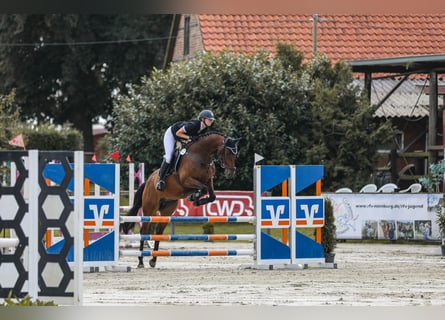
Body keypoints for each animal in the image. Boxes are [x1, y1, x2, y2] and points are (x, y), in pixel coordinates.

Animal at [119, 131, 241, 268]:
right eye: (227, 152)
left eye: (236, 153)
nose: (231, 173)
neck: (201, 156)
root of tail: (148, 181)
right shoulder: (186, 180)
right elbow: (203, 189)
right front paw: (194, 197)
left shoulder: (209, 180)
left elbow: (212, 195)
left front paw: (196, 199)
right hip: (150, 208)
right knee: (144, 231)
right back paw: (140, 261)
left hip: (167, 209)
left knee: (158, 231)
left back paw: (153, 260)